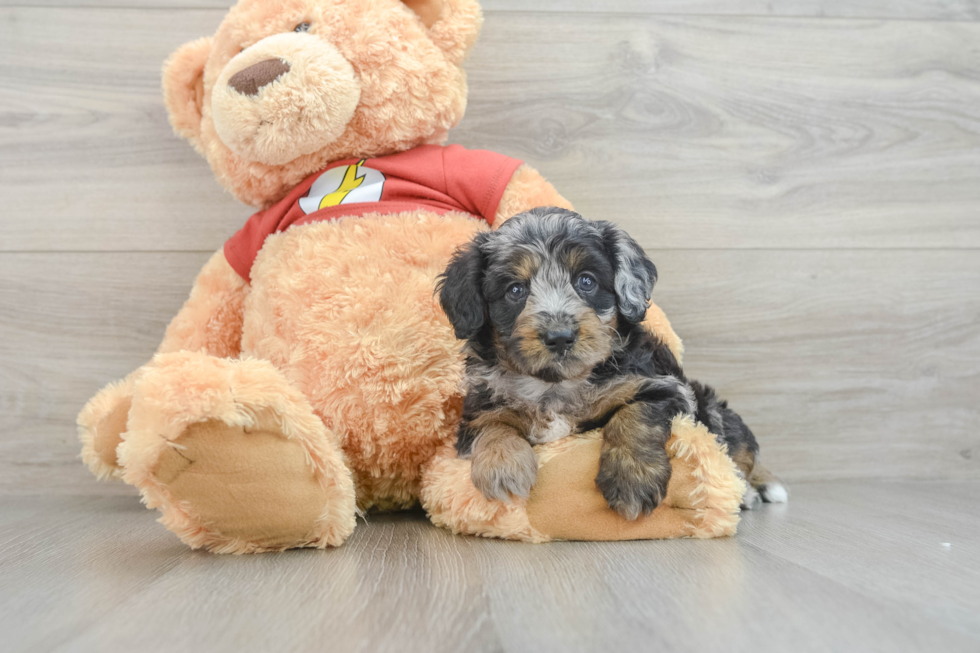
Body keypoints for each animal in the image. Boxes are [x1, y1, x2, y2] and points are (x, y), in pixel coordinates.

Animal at [438, 206, 788, 516]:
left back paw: (755, 489)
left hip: (713, 409)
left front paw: (632, 480)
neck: (554, 385)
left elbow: (634, 415)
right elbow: (493, 425)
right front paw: (503, 468)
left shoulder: (662, 387)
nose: (560, 336)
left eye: (586, 281)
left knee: (741, 454)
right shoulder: (478, 408)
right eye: (515, 290)